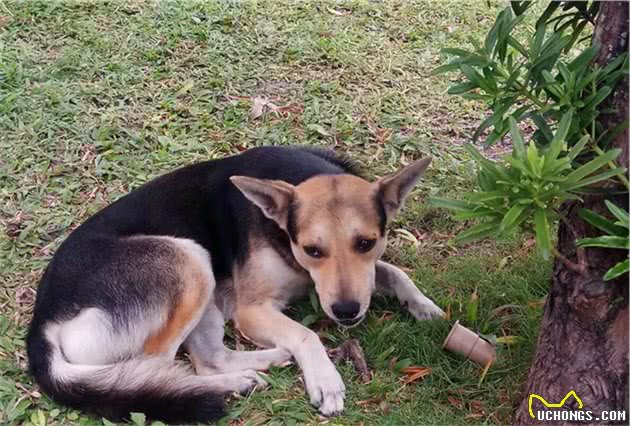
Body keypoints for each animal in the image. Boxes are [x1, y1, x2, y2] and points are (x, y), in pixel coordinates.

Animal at [27, 146, 446, 422]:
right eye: (313, 249)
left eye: (366, 243)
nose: (346, 312)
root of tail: (43, 319)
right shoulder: (252, 310)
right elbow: (307, 334)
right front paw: (325, 378)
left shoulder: (363, 274)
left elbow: (394, 273)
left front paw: (426, 307)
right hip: (189, 258)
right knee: (164, 366)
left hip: (205, 291)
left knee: (208, 358)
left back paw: (262, 365)